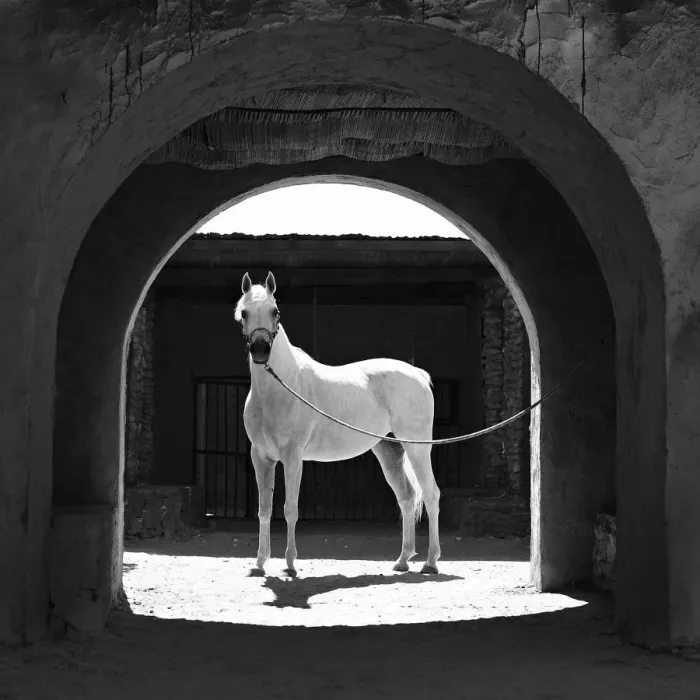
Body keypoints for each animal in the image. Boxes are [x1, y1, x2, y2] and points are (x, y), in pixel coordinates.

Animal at [235, 271, 441, 577]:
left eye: (275, 312)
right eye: (244, 312)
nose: (261, 350)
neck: (280, 387)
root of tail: (417, 373)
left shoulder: (293, 457)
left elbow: (290, 508)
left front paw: (290, 565)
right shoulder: (261, 457)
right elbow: (264, 509)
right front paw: (260, 564)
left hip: (417, 448)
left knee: (430, 494)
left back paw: (430, 562)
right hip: (389, 450)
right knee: (406, 497)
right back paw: (403, 560)